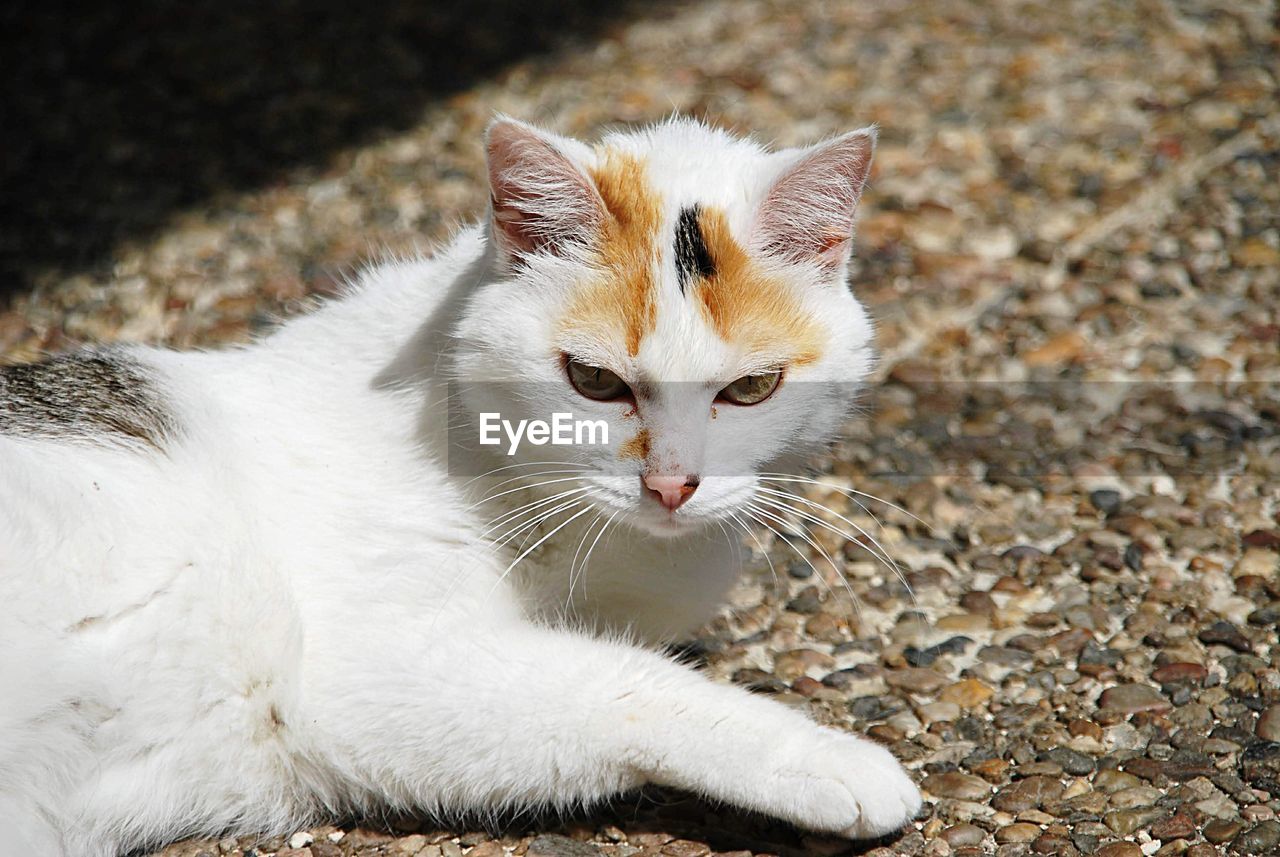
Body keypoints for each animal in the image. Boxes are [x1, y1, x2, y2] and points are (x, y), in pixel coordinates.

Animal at [0, 118, 921, 857]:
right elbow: (623, 685)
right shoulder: (368, 679)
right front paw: (832, 761)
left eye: (751, 389)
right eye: (593, 381)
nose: (671, 485)